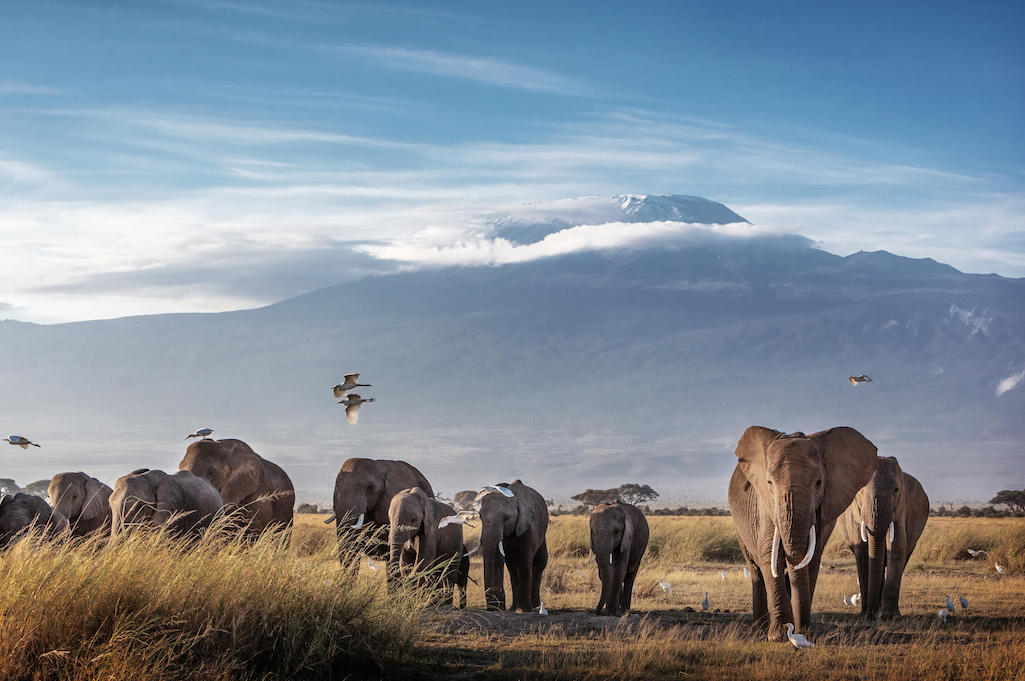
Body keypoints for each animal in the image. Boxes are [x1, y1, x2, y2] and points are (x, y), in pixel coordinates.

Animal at [475, 477, 549, 611]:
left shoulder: (528, 525)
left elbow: (525, 560)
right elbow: (500, 558)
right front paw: (500, 608)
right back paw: (513, 608)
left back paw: (534, 605)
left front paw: (524, 610)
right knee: (512, 566)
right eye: (480, 517)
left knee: (540, 561)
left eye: (506, 518)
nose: (492, 607)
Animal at [729, 428, 881, 639]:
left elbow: (812, 557)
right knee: (756, 569)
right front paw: (779, 636)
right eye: (769, 483)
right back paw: (759, 628)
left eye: (819, 483)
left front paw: (801, 633)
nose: (800, 630)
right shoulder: (764, 503)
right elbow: (769, 555)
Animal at [836, 455, 934, 619]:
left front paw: (890, 616)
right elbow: (863, 552)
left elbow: (896, 548)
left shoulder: (901, 508)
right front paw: (866, 615)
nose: (871, 615)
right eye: (860, 491)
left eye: (896, 490)